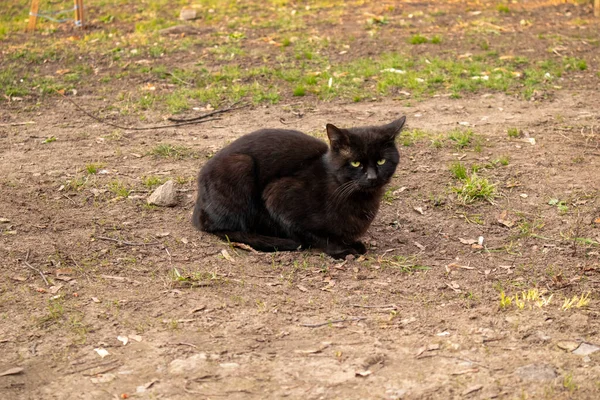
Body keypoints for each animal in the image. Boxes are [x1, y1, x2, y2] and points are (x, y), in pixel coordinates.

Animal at [195, 115, 406, 260]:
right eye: (355, 163)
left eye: (381, 161)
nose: (372, 177)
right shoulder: (277, 196)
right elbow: (314, 234)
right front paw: (341, 249)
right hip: (240, 165)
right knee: (222, 228)